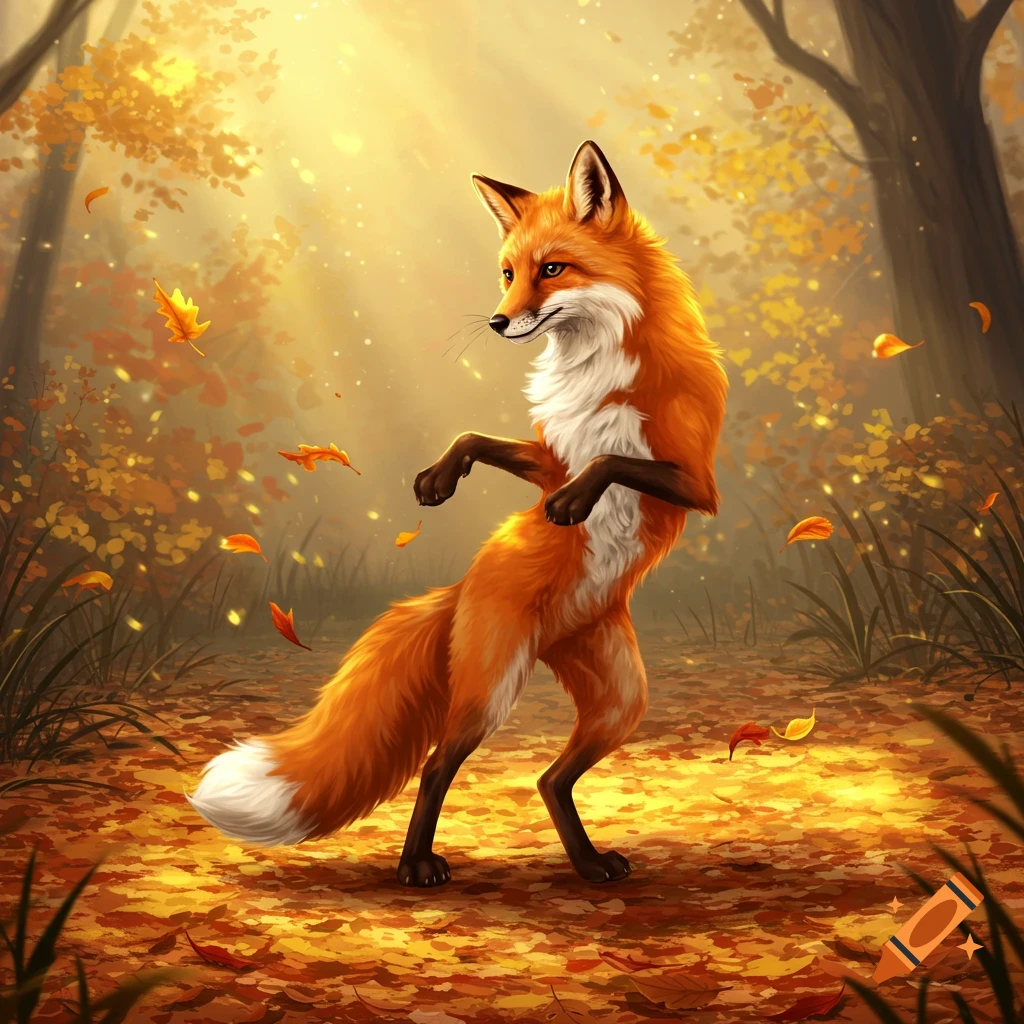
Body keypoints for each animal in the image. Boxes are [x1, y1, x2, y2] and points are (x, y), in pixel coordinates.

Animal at [186, 141, 728, 888]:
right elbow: (482, 439)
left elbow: (612, 459)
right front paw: (440, 480)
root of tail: (463, 588)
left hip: (620, 703)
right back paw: (417, 864)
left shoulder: (697, 481)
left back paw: (587, 863)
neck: (599, 363)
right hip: (491, 688)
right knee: (439, 765)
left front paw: (571, 503)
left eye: (552, 269)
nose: (498, 321)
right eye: (507, 273)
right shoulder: (553, 454)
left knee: (548, 779)